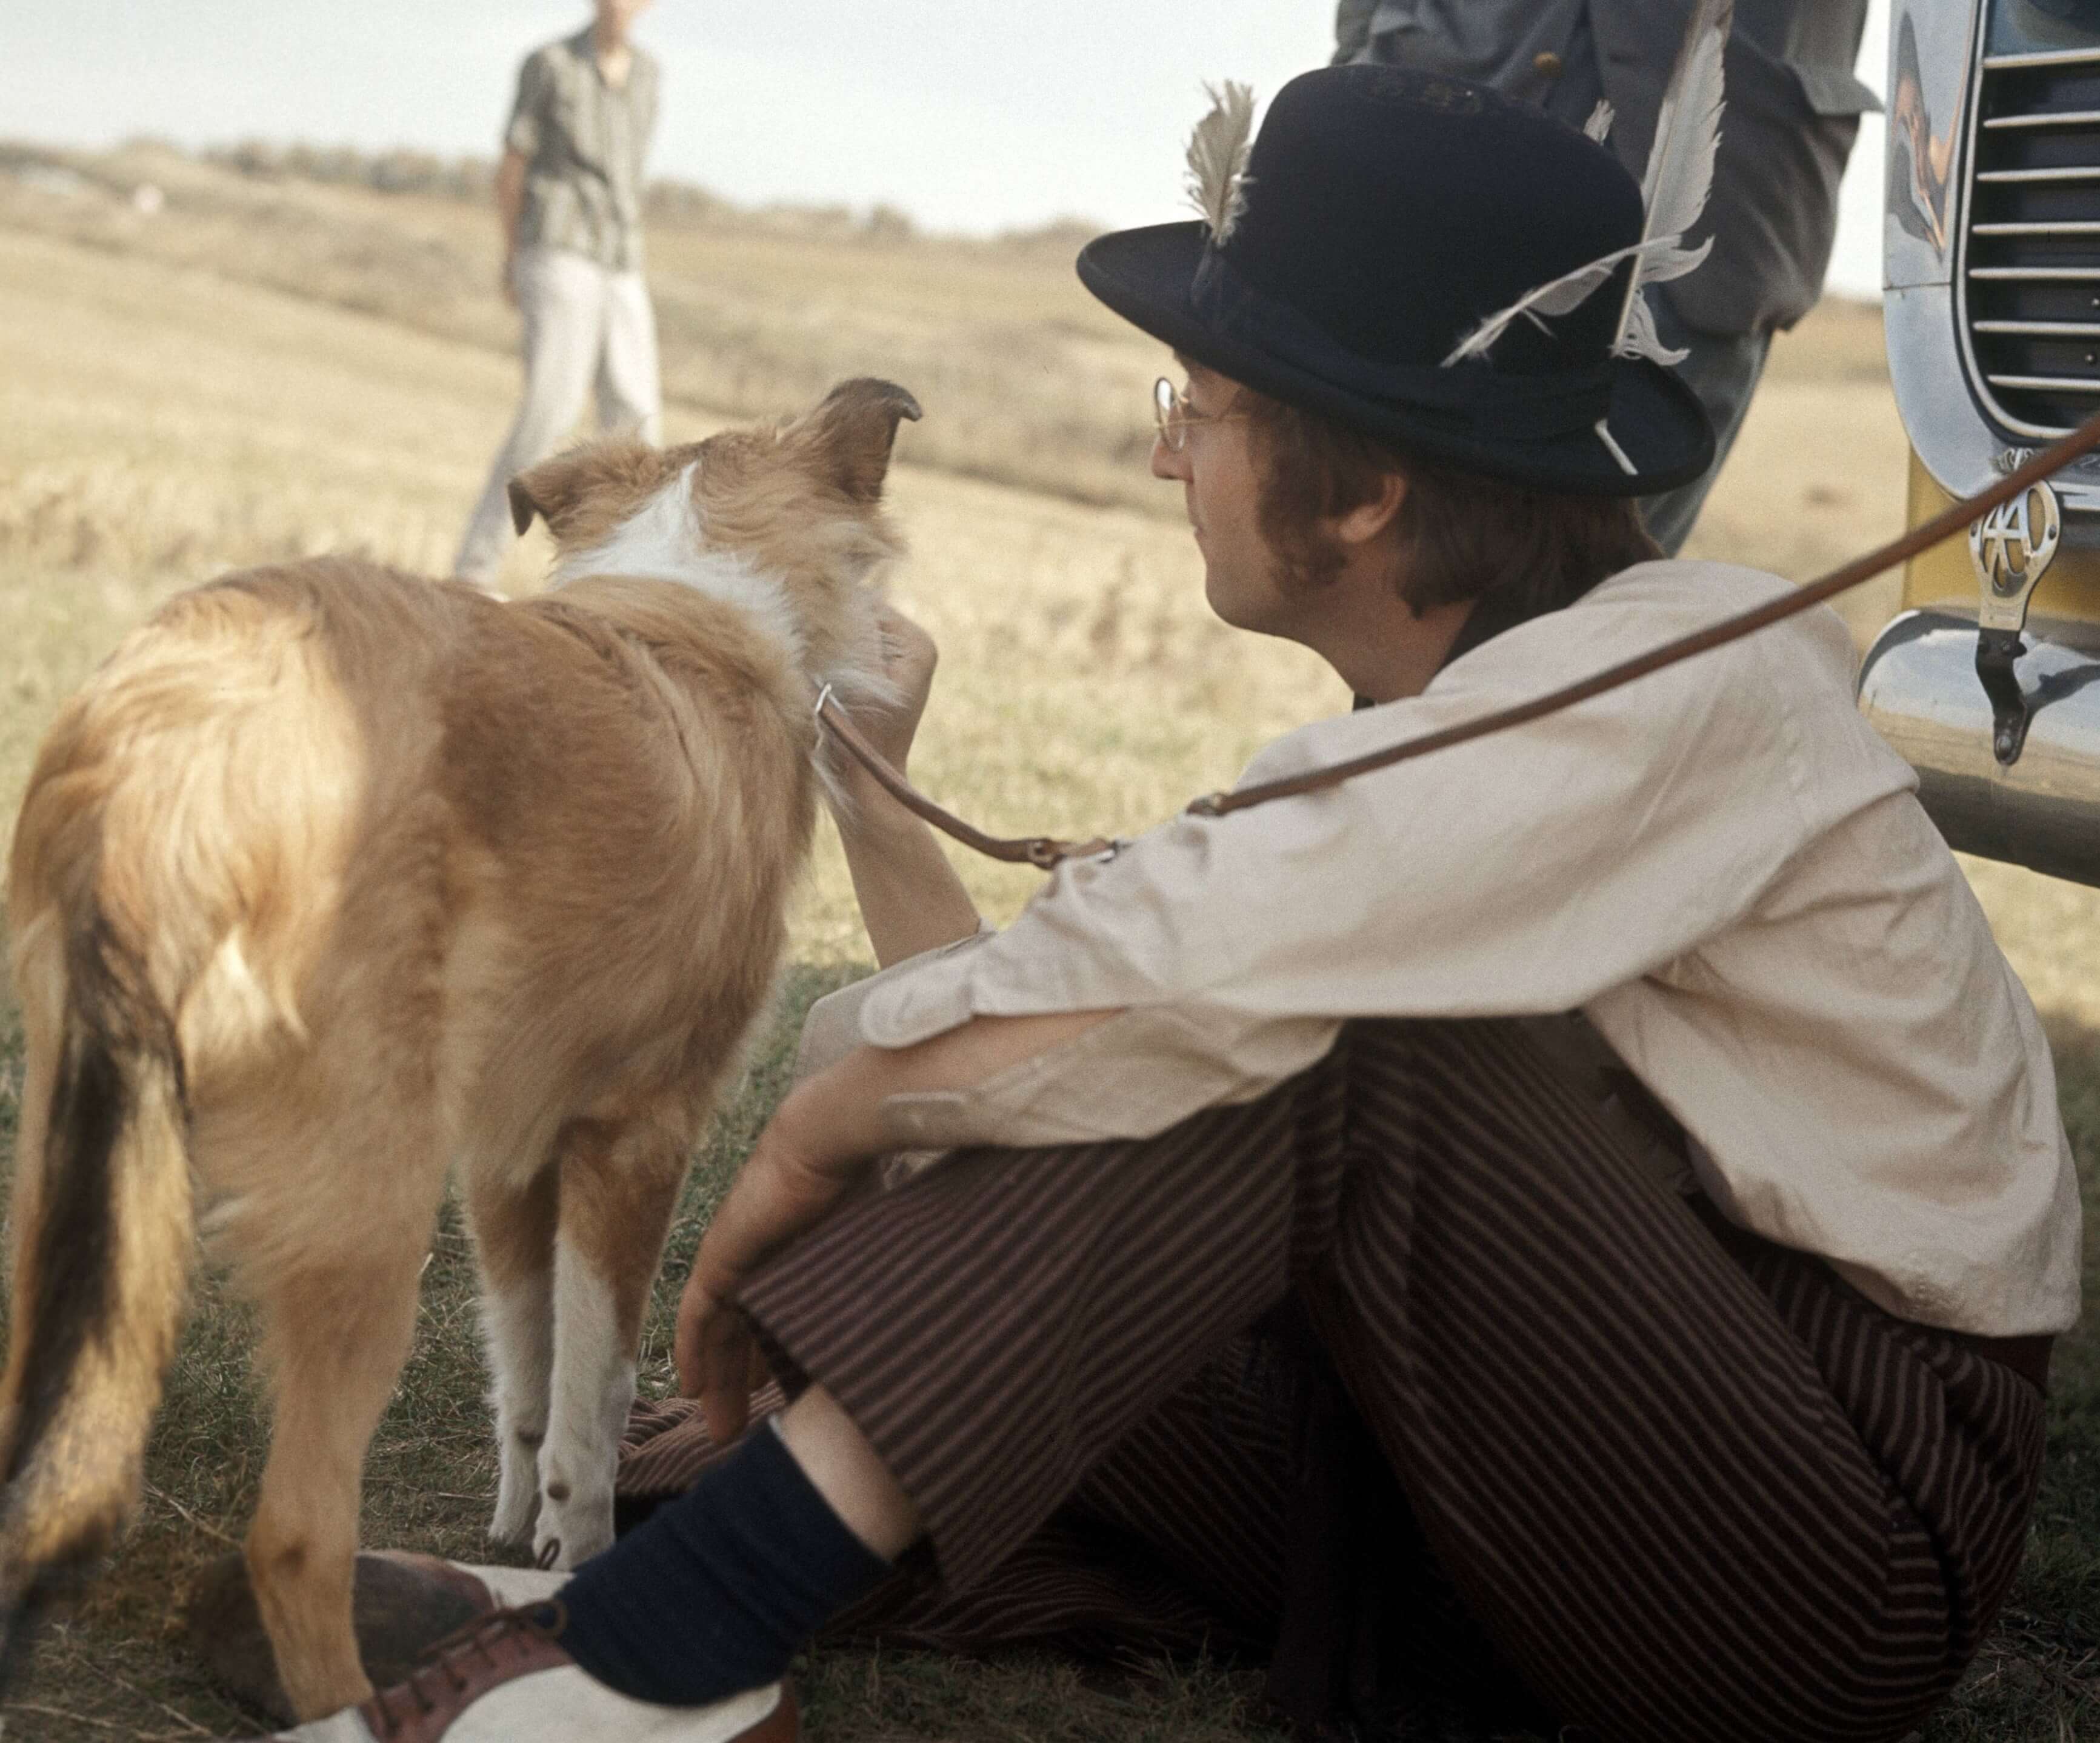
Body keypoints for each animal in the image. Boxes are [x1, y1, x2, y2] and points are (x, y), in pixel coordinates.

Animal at [0, 378, 919, 1722]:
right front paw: (577, 1550)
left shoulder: (505, 1146)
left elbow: (526, 1365)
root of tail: (177, 741)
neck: (696, 594)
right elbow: (597, 1390)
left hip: (76, 1176)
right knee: (294, 1536)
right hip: (368, 1207)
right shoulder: (638, 1136)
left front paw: (515, 1525)